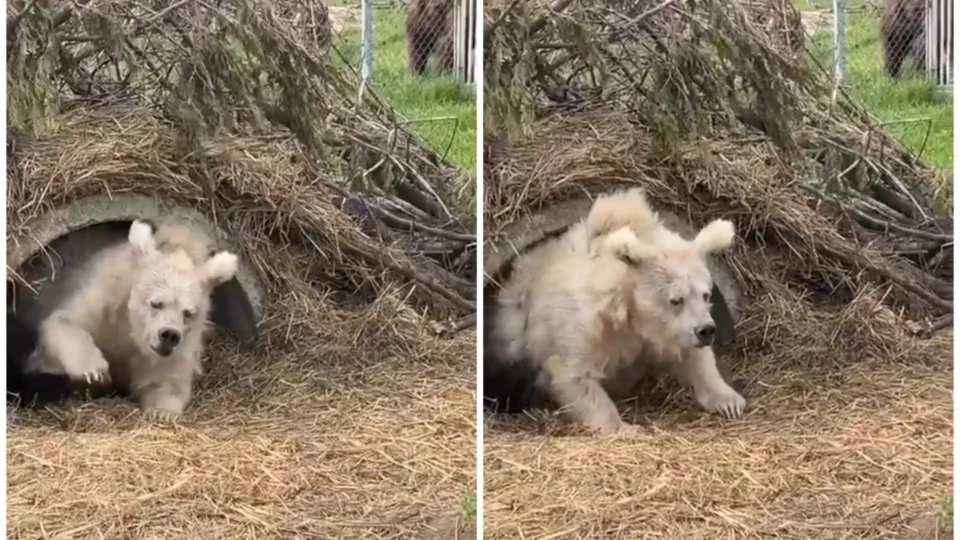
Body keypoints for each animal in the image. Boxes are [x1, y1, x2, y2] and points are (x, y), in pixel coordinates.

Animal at [22, 219, 239, 421]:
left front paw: (162, 412)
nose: (169, 335)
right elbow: (65, 321)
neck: (130, 328)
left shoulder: (175, 347)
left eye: (188, 313)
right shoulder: (105, 297)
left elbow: (167, 378)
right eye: (156, 303)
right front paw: (94, 371)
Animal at [485, 188, 746, 436]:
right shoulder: (584, 326)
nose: (706, 330)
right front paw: (626, 428)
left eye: (705, 294)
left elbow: (693, 357)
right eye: (676, 299)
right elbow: (575, 374)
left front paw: (730, 401)